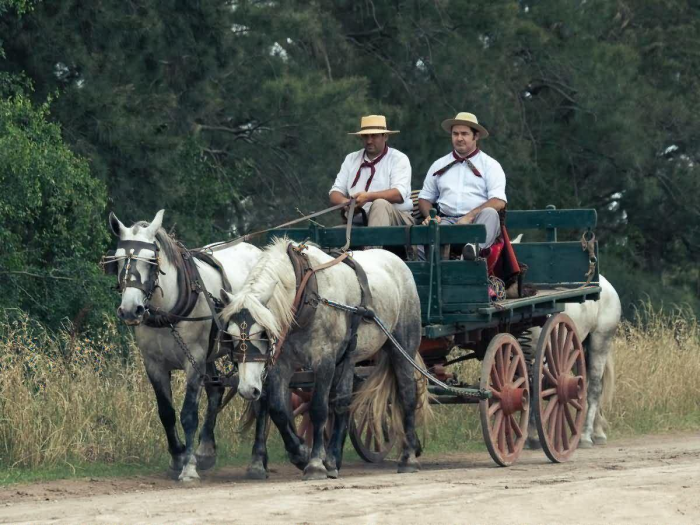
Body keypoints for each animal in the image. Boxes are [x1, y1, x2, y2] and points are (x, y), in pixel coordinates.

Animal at [108, 211, 262, 482]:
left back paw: (256, 461)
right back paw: (206, 451)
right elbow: (166, 413)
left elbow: (188, 413)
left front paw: (188, 466)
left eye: (151, 260)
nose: (130, 310)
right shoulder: (154, 365)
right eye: (117, 260)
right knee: (215, 390)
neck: (167, 312)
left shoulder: (194, 362)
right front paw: (177, 457)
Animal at [219, 239, 430, 482]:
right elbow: (278, 409)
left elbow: (318, 409)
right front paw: (301, 453)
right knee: (342, 404)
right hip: (349, 358)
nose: (247, 389)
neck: (305, 294)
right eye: (230, 335)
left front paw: (314, 465)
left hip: (402, 346)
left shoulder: (325, 360)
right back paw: (332, 460)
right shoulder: (282, 365)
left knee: (407, 394)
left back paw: (408, 458)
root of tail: (398, 262)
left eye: (263, 333)